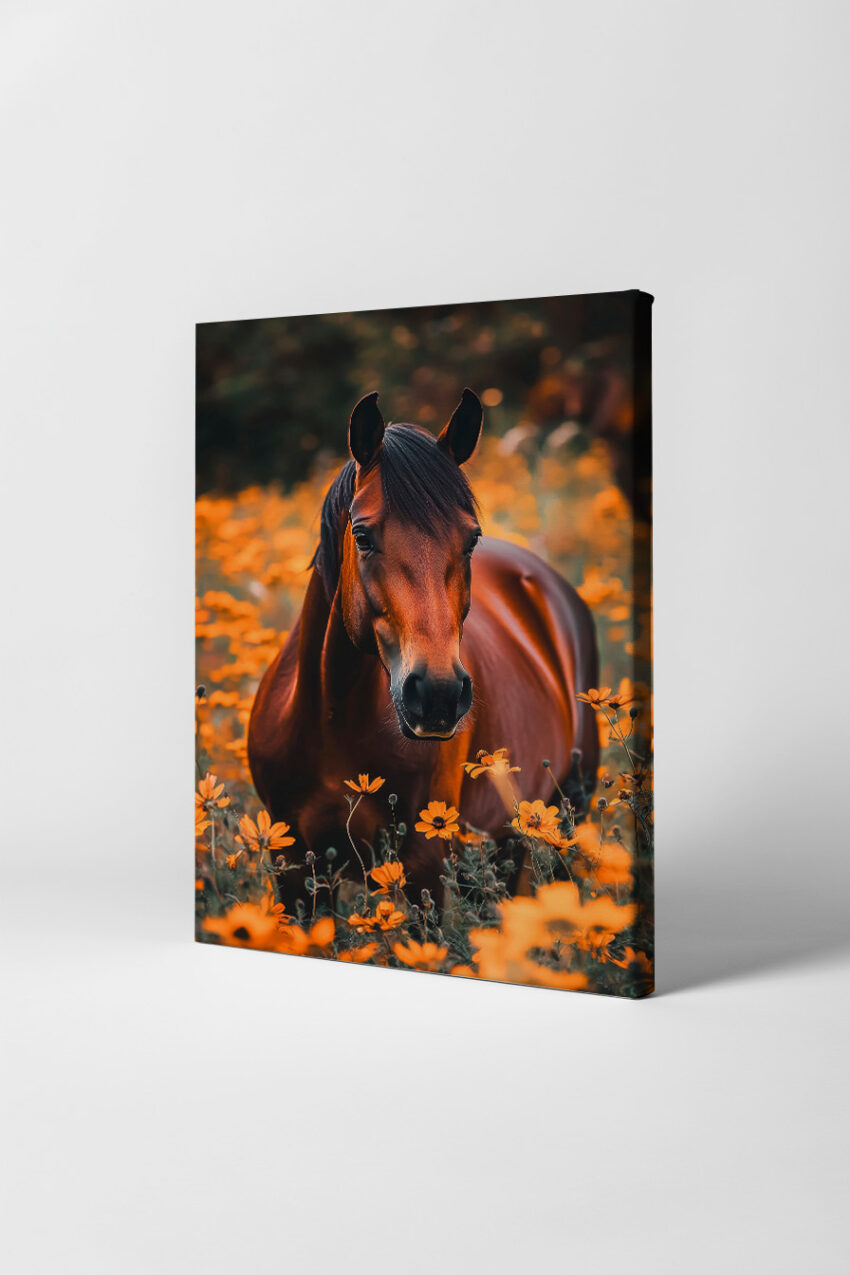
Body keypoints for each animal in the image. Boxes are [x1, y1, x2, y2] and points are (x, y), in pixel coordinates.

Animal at [248, 388, 599, 910]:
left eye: (471, 539)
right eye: (362, 535)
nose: (437, 695)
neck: (330, 718)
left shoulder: (421, 867)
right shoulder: (291, 863)